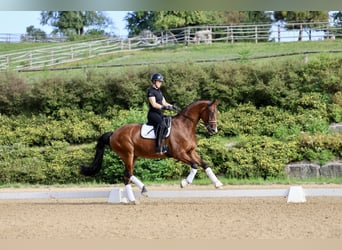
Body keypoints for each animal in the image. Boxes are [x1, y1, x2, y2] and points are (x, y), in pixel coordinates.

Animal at [81, 99, 223, 203]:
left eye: (217, 112)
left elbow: (205, 165)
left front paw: (218, 184)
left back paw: (141, 191)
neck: (185, 126)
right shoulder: (179, 154)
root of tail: (113, 134)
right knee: (127, 174)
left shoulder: (191, 151)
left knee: (127, 175)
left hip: (133, 156)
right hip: (127, 154)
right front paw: (184, 182)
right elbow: (194, 165)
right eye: (211, 112)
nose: (214, 130)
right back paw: (134, 198)